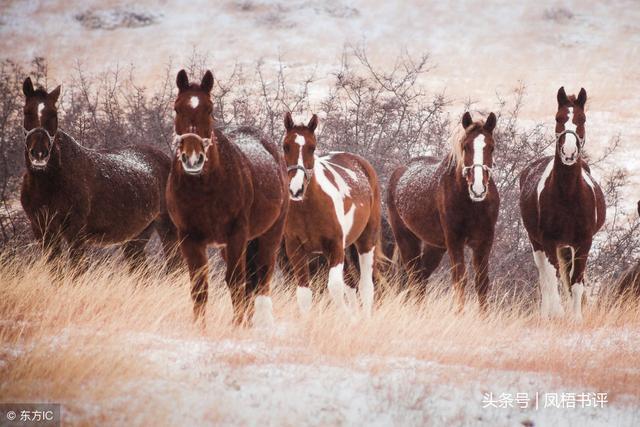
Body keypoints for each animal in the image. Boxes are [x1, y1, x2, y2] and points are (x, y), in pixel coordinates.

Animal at [20, 77, 180, 270]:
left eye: (53, 114)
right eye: (27, 112)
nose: (39, 153)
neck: (49, 183)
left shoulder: (74, 231)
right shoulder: (42, 230)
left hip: (167, 228)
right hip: (137, 236)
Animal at [168, 70, 288, 326]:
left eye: (210, 109)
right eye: (177, 108)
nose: (193, 158)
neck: (204, 189)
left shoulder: (236, 235)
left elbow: (235, 281)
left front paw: (237, 325)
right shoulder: (189, 238)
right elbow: (199, 287)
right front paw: (200, 327)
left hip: (269, 236)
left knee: (261, 279)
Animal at [280, 113, 380, 318]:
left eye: (312, 147)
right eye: (286, 146)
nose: (296, 189)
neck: (308, 210)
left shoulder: (335, 247)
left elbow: (334, 288)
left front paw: (349, 318)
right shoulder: (296, 250)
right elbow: (304, 294)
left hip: (366, 241)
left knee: (366, 286)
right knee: (351, 284)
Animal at [384, 112, 500, 312]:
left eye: (491, 148)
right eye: (465, 146)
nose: (478, 189)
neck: (473, 205)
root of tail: (399, 172)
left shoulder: (484, 241)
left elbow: (482, 282)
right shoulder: (455, 241)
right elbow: (460, 280)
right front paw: (459, 314)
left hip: (435, 246)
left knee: (421, 277)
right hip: (406, 239)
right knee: (413, 276)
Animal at [520, 88, 604, 320]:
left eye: (582, 119)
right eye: (558, 118)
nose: (568, 153)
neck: (567, 196)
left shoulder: (584, 242)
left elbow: (576, 281)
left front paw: (576, 318)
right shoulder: (548, 241)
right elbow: (552, 277)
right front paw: (557, 314)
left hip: (566, 247)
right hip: (537, 243)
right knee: (545, 278)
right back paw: (546, 314)